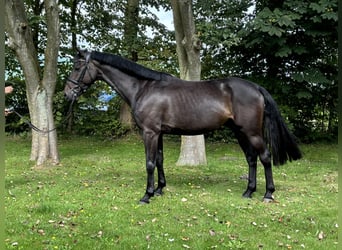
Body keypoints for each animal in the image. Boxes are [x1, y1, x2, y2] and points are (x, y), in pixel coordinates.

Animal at [65, 49, 302, 204]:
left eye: (77, 67)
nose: (67, 93)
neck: (144, 88)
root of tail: (256, 87)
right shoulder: (158, 133)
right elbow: (159, 160)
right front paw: (159, 189)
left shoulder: (149, 132)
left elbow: (149, 163)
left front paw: (146, 195)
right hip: (240, 132)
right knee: (251, 159)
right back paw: (248, 192)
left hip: (252, 132)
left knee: (265, 157)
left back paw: (268, 194)